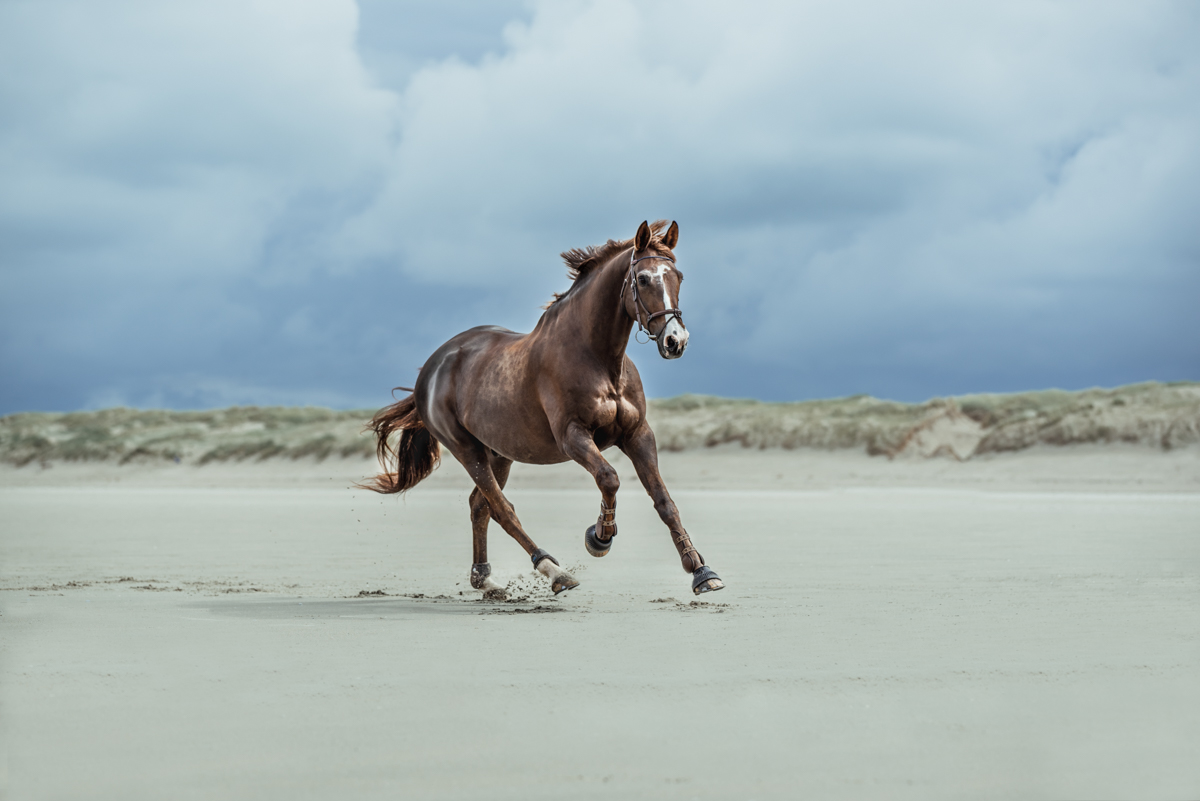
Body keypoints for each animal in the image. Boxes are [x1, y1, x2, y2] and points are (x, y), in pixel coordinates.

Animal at [362, 221, 720, 597]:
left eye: (678, 276)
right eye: (643, 279)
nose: (675, 341)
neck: (596, 357)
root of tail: (431, 368)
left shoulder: (638, 435)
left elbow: (664, 502)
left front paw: (701, 570)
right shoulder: (573, 436)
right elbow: (609, 478)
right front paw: (599, 537)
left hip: (498, 453)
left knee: (480, 506)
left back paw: (484, 579)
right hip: (467, 450)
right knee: (502, 509)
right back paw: (554, 571)